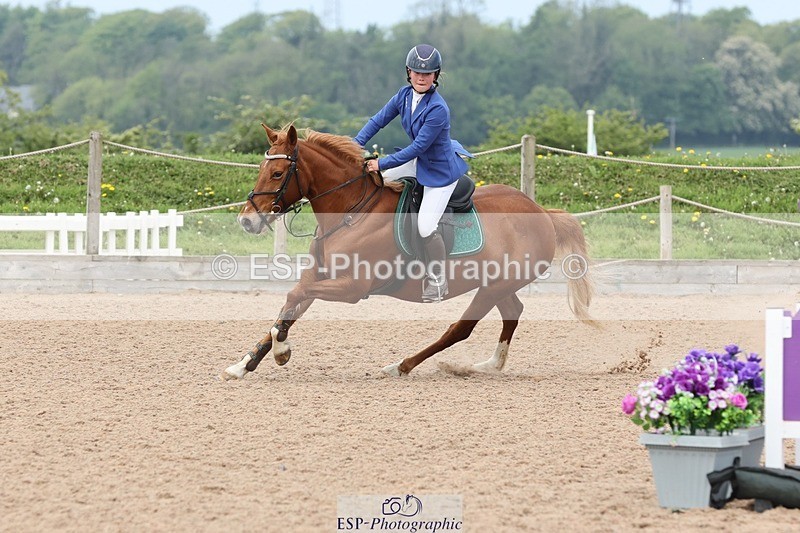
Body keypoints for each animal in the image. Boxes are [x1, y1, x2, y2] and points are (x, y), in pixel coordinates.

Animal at [222, 124, 595, 379]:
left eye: (278, 173)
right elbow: (288, 307)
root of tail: (542, 212)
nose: (246, 221)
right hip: (497, 284)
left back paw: (401, 366)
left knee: (461, 328)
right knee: (512, 311)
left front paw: (281, 351)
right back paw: (489, 365)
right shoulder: (321, 276)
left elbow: (292, 297)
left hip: (494, 286)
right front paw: (243, 365)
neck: (351, 211)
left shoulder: (352, 288)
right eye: (261, 170)